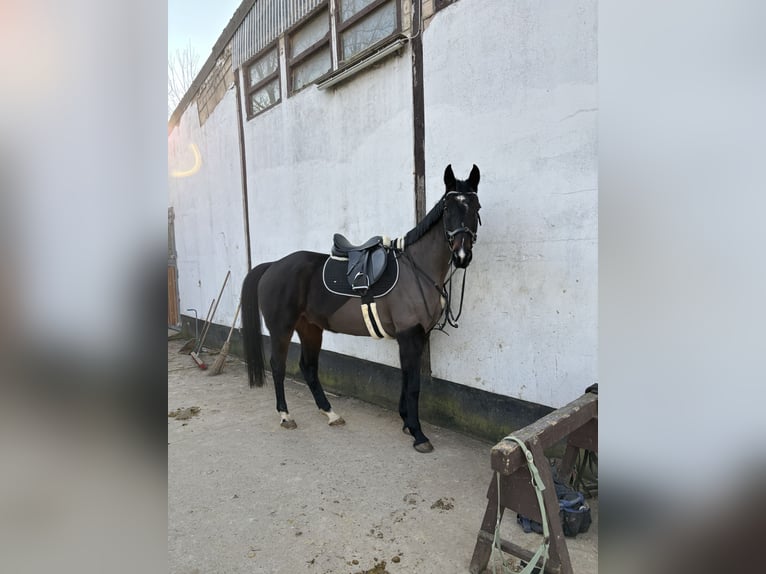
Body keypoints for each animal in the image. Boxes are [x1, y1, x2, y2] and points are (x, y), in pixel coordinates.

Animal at [240, 164, 481, 452]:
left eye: (476, 207)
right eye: (447, 209)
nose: (462, 255)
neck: (416, 269)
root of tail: (272, 265)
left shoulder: (416, 337)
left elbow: (405, 378)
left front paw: (406, 422)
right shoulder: (410, 335)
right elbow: (413, 385)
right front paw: (418, 434)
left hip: (310, 329)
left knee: (308, 367)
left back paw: (330, 413)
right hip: (282, 328)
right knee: (277, 365)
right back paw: (286, 416)